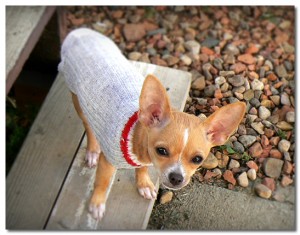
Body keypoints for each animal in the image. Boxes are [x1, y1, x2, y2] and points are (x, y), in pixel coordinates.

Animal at [58, 28, 246, 221]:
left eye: (197, 159)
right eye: (161, 151)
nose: (176, 178)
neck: (135, 137)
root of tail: (81, 32)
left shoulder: (143, 161)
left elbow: (142, 170)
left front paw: (144, 184)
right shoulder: (107, 162)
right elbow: (101, 183)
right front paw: (97, 204)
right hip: (79, 101)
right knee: (88, 127)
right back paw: (92, 151)